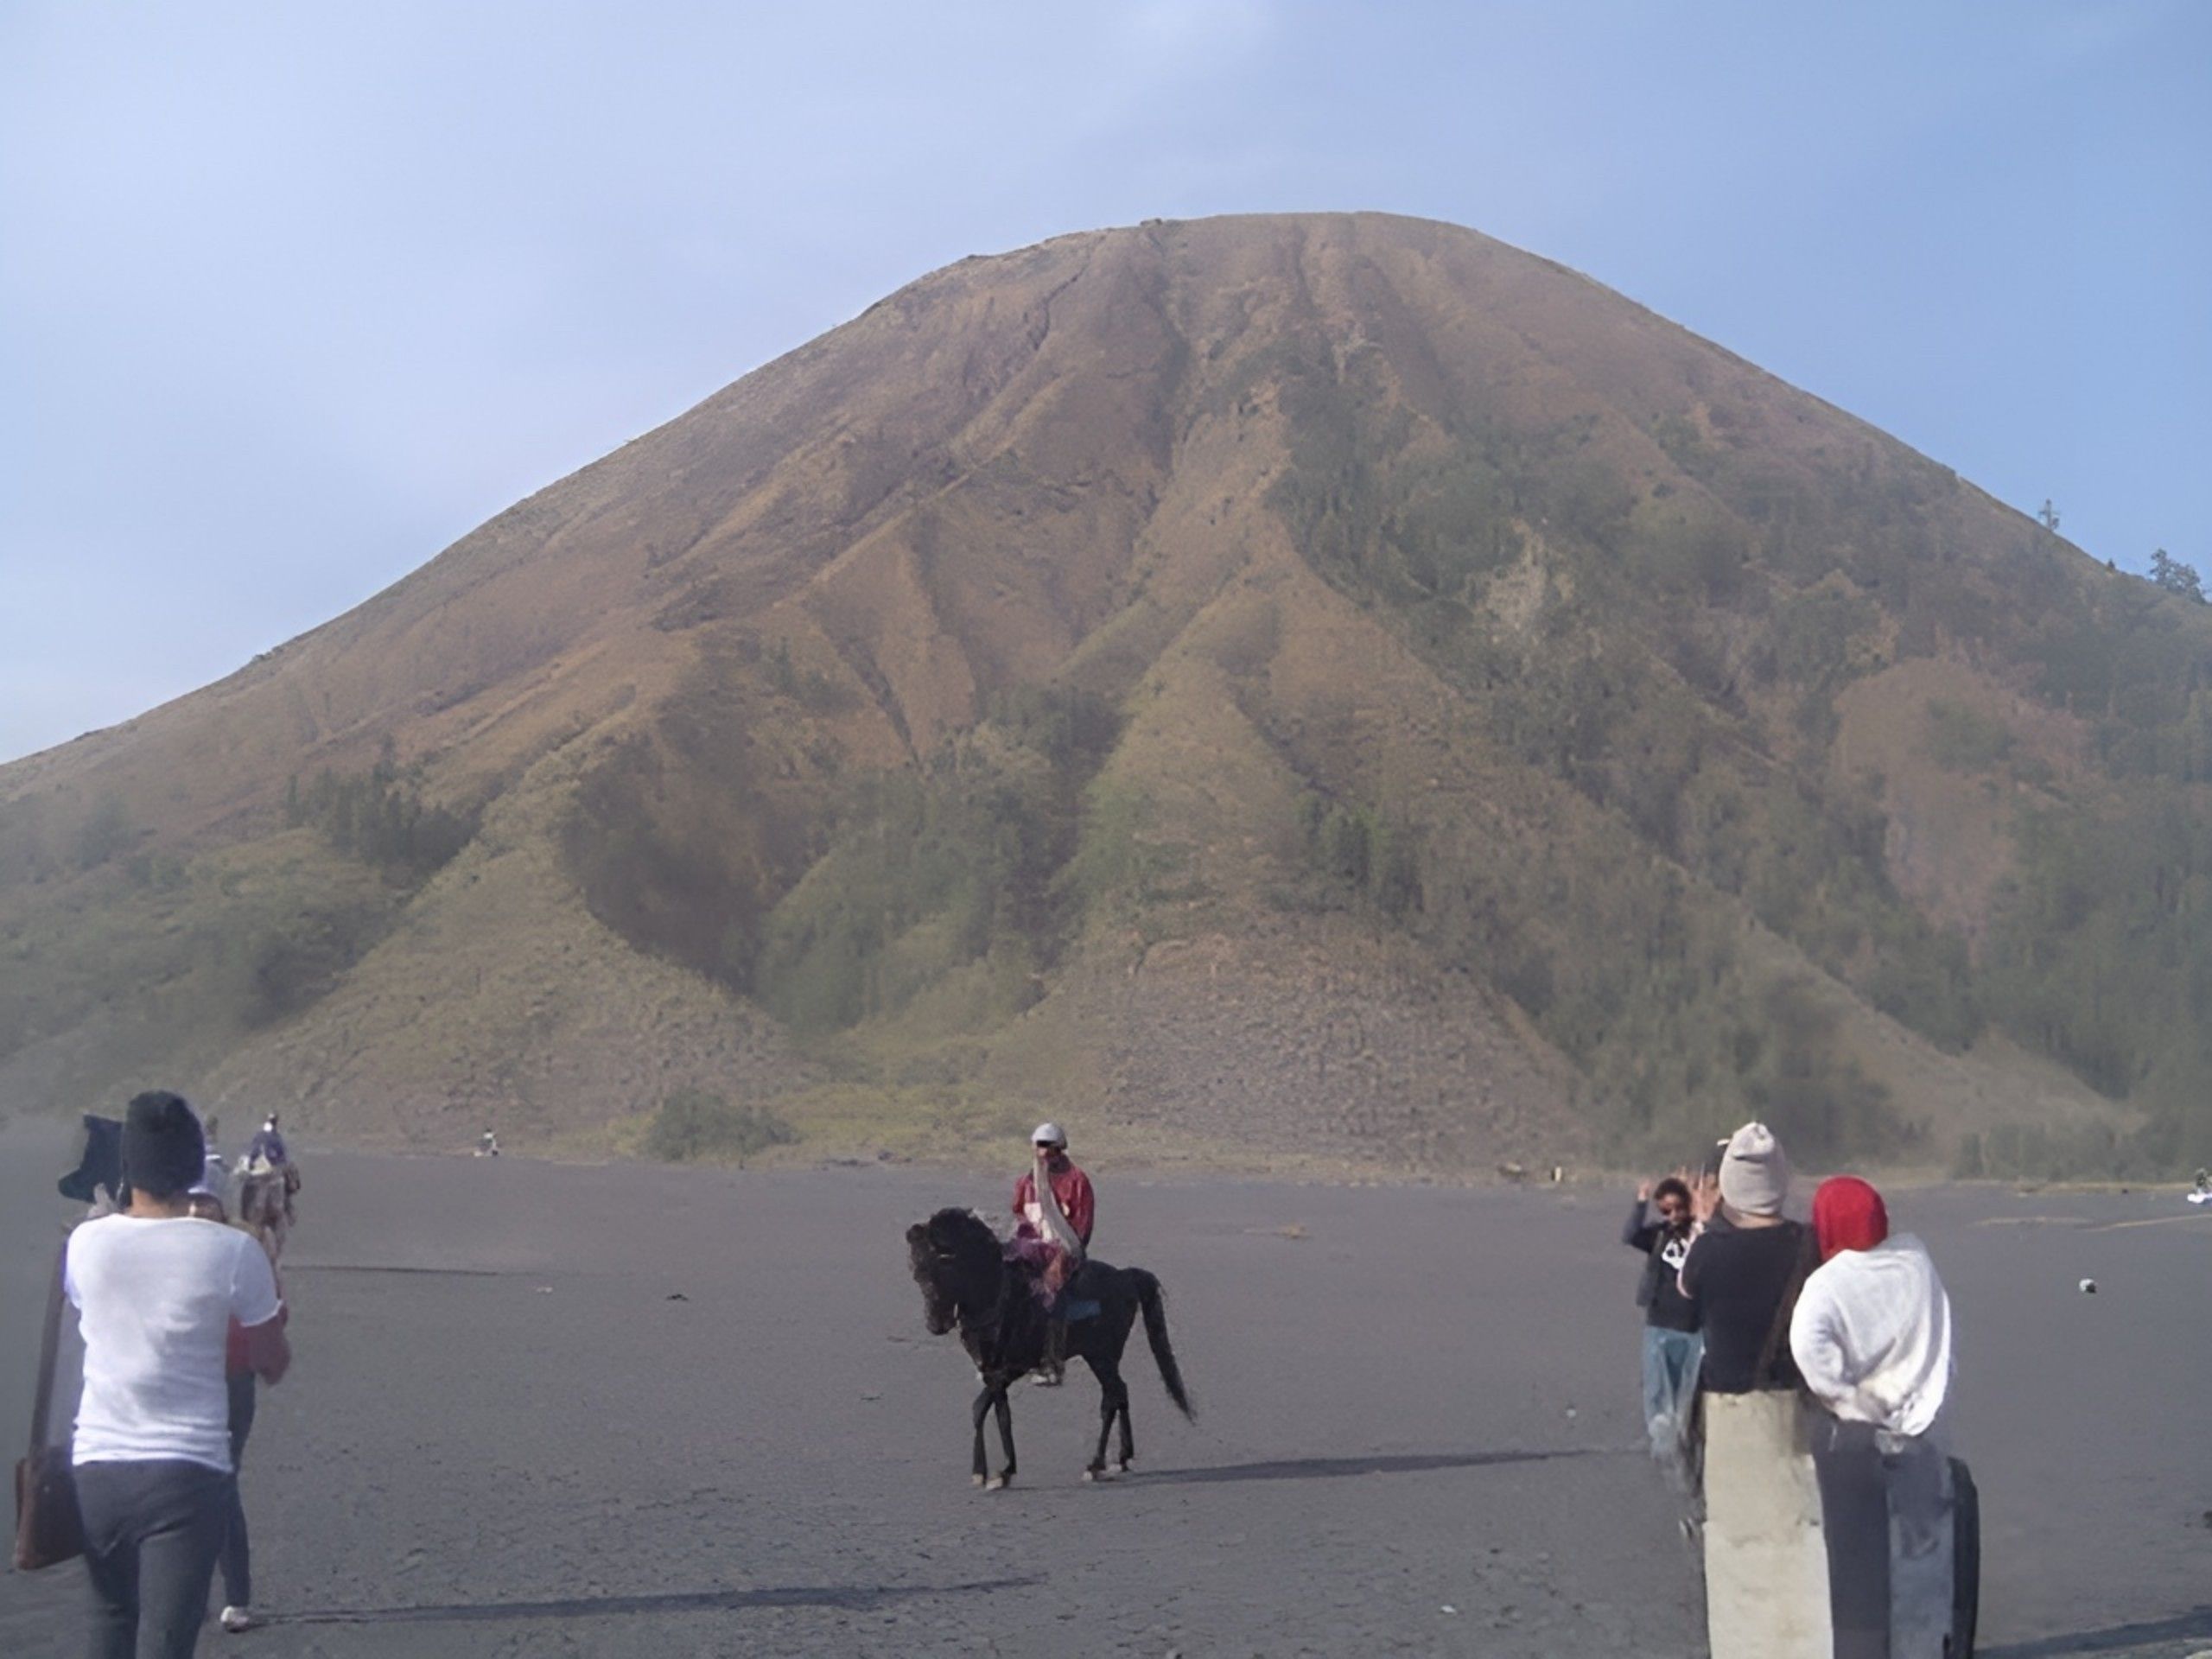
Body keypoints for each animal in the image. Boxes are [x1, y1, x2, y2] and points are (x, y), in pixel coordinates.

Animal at [906, 1211, 1194, 1495]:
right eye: (917, 1274)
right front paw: (982, 1472)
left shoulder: (1011, 1368)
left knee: (1112, 1396)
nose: (935, 1325)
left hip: (1101, 1357)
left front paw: (1004, 1472)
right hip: (1103, 1358)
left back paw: (1095, 1465)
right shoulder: (992, 1371)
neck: (997, 1295)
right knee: (1120, 1393)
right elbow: (985, 1409)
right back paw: (1123, 1458)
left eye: (943, 1268)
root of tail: (1125, 1276)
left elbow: (999, 1413)